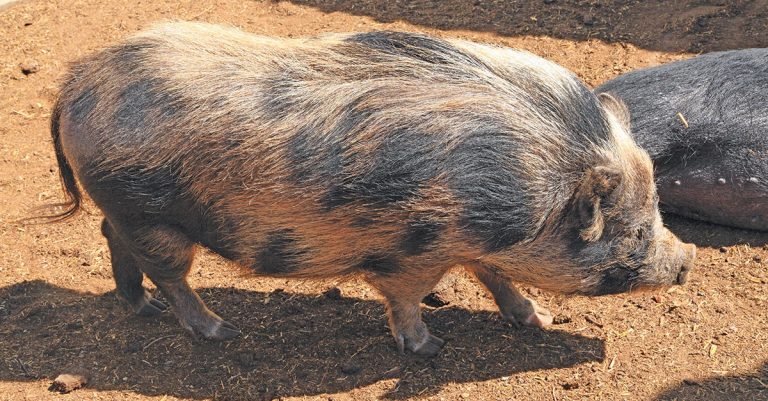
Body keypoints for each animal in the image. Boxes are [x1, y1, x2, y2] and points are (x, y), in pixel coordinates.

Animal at [50, 22, 695, 357]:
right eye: (635, 231)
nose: (689, 257)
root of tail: (76, 83)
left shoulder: (479, 242)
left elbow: (496, 277)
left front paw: (539, 320)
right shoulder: (417, 248)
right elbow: (408, 295)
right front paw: (428, 349)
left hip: (128, 209)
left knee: (112, 237)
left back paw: (142, 308)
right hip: (150, 212)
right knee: (171, 273)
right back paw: (220, 330)